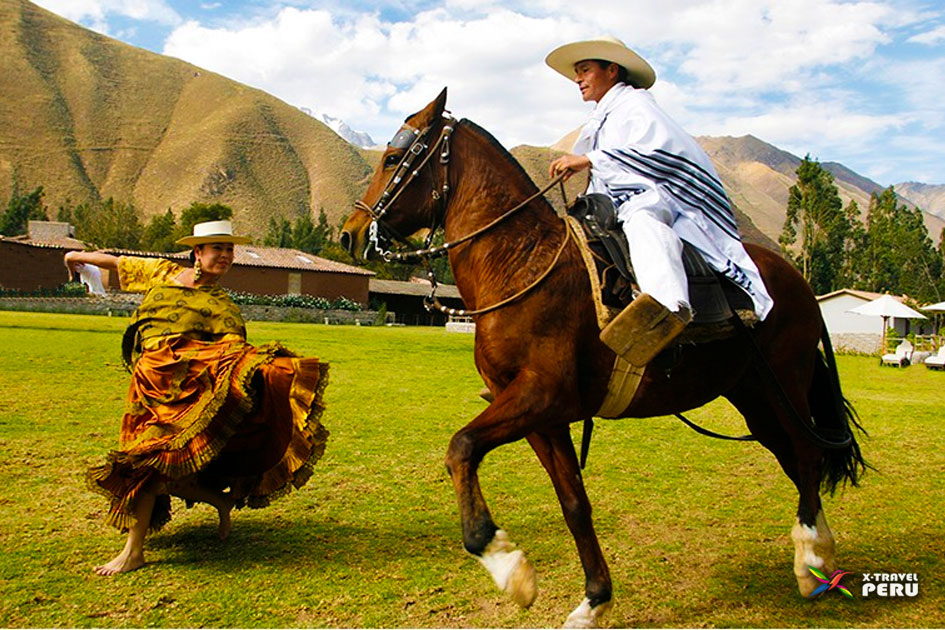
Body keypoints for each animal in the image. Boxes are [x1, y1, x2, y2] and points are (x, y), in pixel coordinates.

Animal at [340, 90, 864, 630]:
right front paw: (594, 599)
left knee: (807, 454)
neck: (521, 263)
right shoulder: (540, 416)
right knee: (797, 459)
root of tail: (799, 282)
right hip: (755, 399)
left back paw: (809, 560)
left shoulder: (541, 395)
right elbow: (574, 502)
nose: (350, 234)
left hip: (785, 384)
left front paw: (507, 565)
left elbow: (461, 447)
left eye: (393, 158)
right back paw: (822, 556)